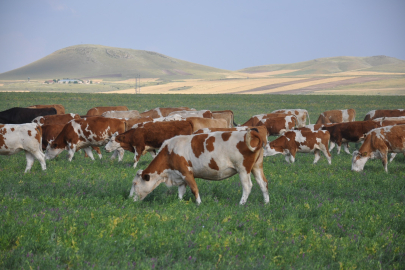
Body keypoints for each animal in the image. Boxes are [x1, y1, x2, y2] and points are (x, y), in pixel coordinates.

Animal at [129, 129, 268, 205]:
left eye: (135, 184)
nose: (129, 198)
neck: (169, 151)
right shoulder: (180, 175)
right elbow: (181, 191)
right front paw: (179, 202)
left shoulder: (187, 173)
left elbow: (194, 189)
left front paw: (199, 203)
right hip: (257, 167)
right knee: (263, 184)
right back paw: (266, 203)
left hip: (243, 169)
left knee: (247, 186)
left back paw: (241, 204)